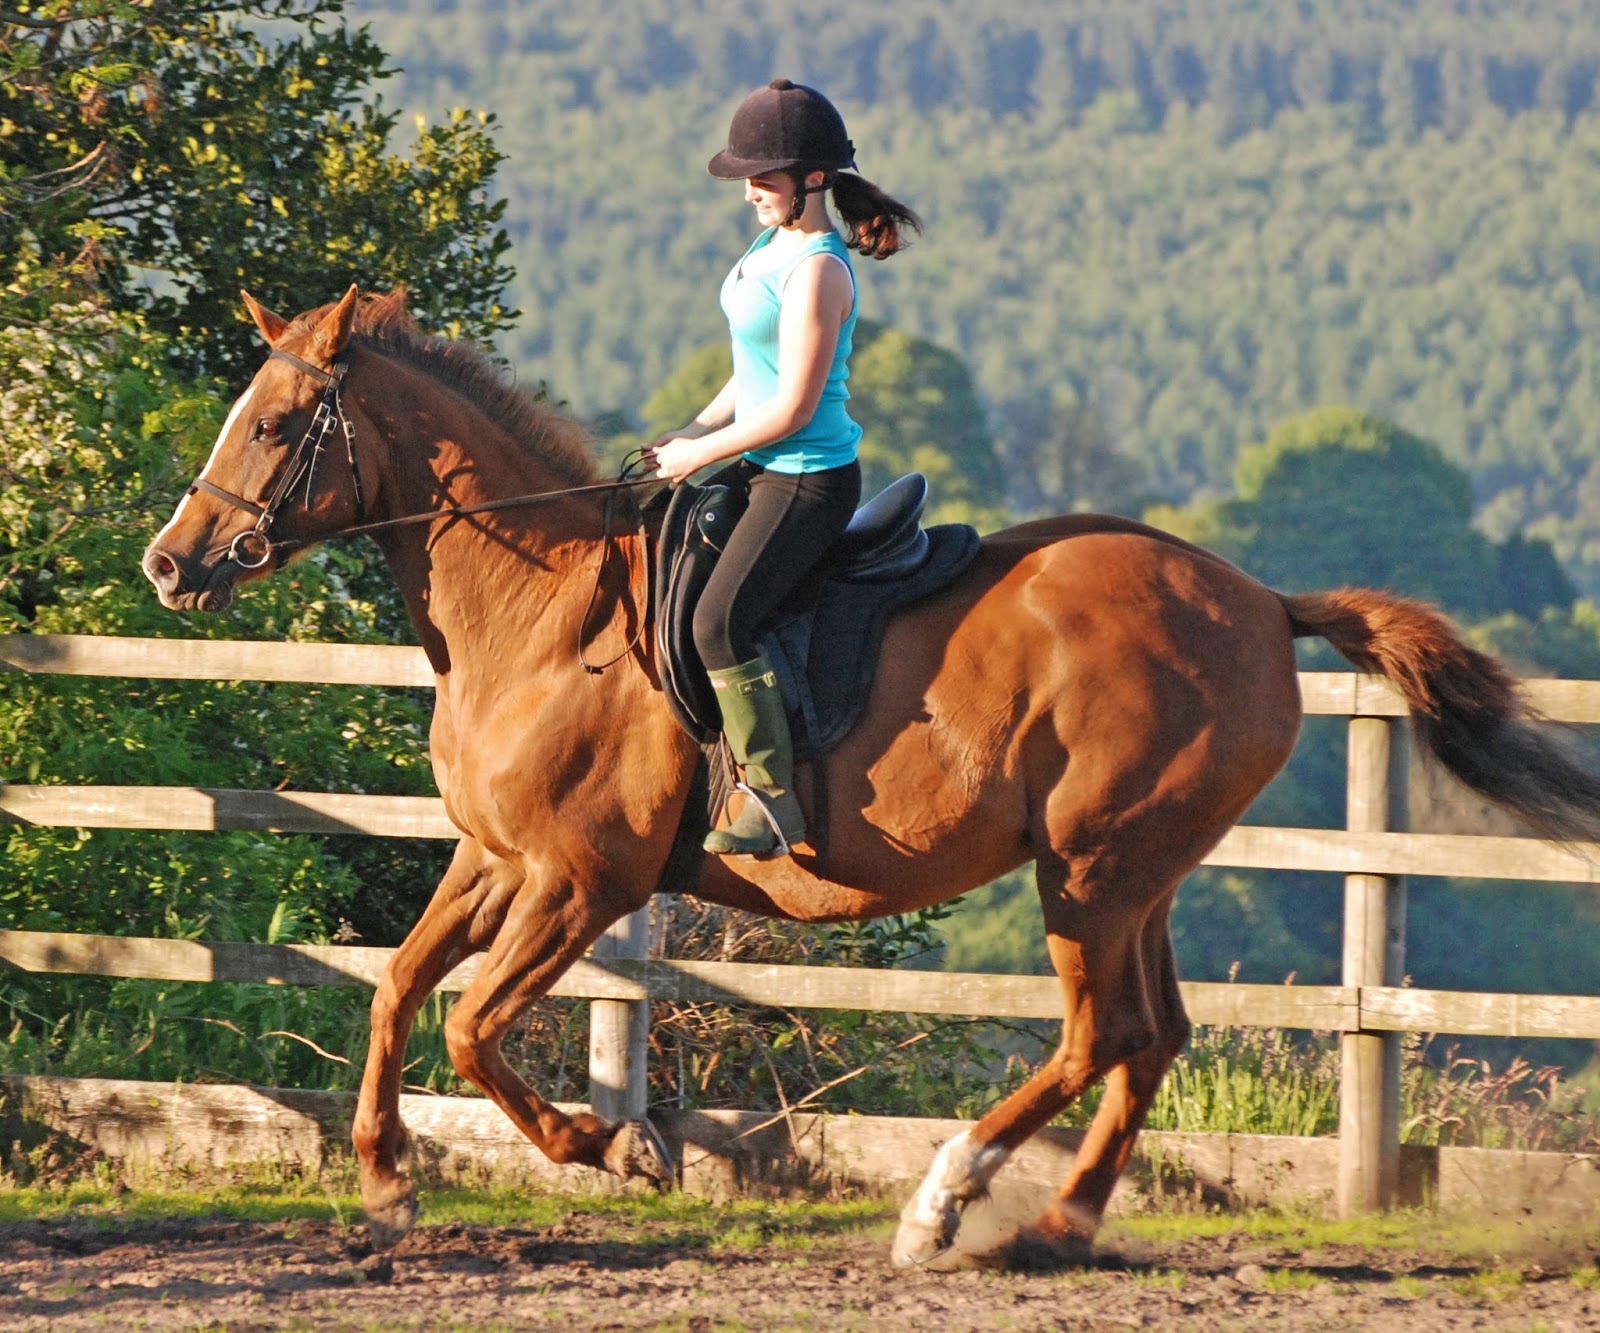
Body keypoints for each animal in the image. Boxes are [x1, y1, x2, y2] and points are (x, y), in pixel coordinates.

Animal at [147, 288, 1600, 1267]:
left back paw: (946, 1201)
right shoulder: (497, 859)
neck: (546, 610)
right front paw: (389, 1181)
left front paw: (607, 1146)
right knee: (1151, 1038)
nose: (171, 565)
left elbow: (469, 1023)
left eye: (277, 424)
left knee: (1100, 1034)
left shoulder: (578, 881)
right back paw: (1056, 1226)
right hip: (1139, 873)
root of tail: (1256, 598)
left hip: (1090, 865)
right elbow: (399, 986)